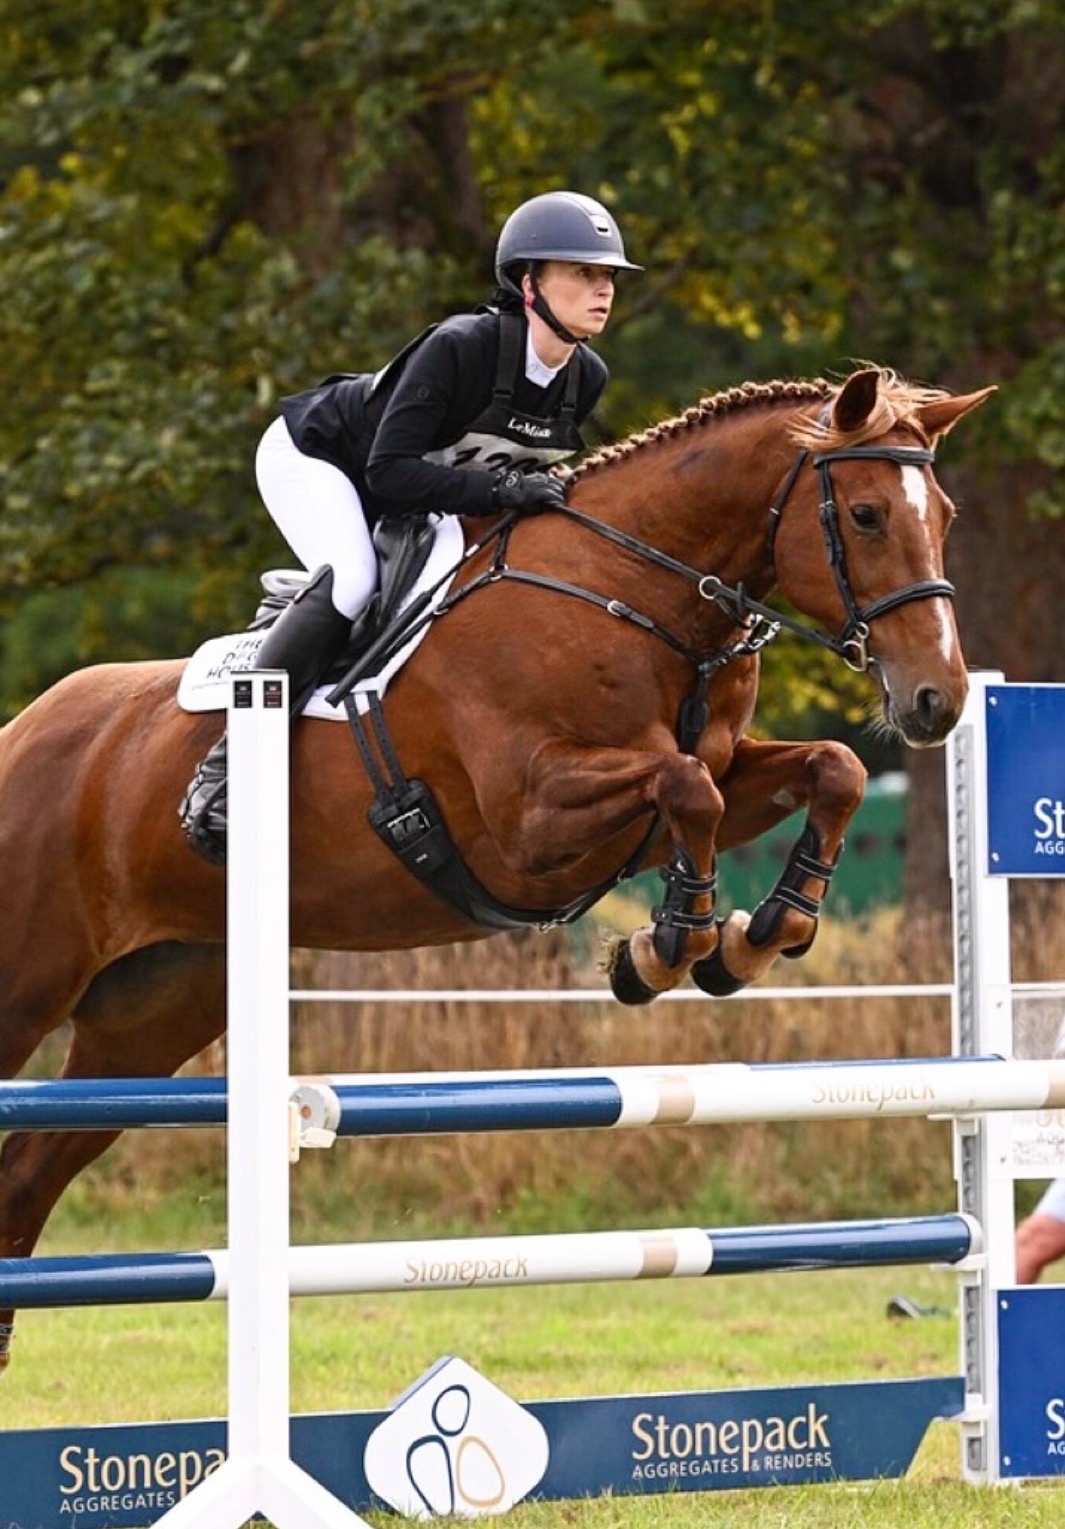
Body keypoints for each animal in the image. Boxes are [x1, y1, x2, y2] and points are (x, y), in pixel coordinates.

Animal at [0, 364, 993, 1371]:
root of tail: (22, 730)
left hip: (153, 1012)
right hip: (29, 981)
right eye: (865, 514)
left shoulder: (699, 782)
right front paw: (671, 944)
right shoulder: (531, 823)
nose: (938, 698)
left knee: (31, 1169)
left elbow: (829, 768)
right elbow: (688, 792)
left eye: (945, 512)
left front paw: (755, 934)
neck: (633, 592)